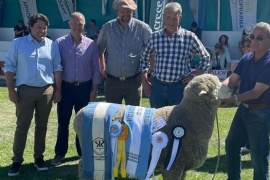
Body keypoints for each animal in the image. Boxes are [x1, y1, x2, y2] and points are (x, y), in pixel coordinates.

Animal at [74, 74, 226, 179]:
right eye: (216, 86)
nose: (229, 88)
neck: (189, 116)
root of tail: (82, 111)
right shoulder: (173, 165)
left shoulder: (182, 167)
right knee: (82, 165)